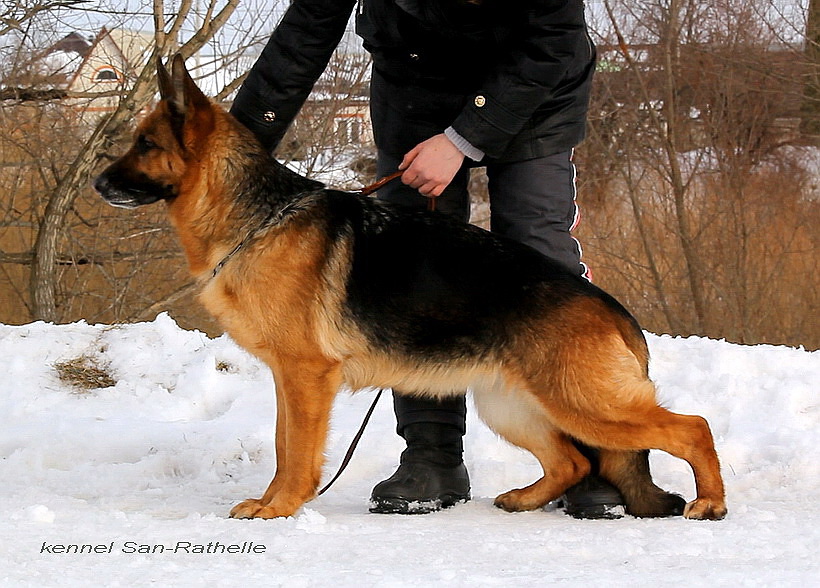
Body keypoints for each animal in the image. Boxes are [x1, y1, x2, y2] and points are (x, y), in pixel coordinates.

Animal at [93, 56, 728, 520]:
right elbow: (281, 444)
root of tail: (613, 310)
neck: (258, 217)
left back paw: (710, 502)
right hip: (512, 406)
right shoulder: (288, 380)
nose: (98, 183)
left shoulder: (306, 377)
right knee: (571, 461)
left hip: (585, 404)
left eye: (146, 144)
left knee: (691, 428)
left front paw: (282, 510)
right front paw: (274, 502)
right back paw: (525, 498)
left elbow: (295, 452)